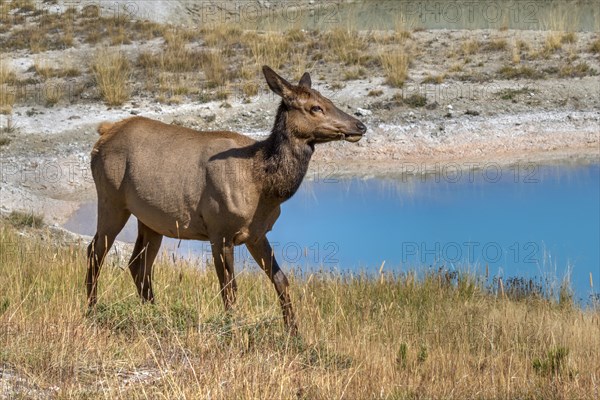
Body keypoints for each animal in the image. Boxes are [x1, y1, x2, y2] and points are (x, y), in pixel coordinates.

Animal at [84, 65, 366, 334]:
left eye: (328, 100)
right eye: (315, 107)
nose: (360, 126)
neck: (263, 186)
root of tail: (103, 133)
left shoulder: (256, 234)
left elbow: (281, 280)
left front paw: (294, 333)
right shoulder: (219, 230)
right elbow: (229, 288)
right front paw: (234, 330)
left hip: (151, 220)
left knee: (138, 264)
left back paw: (154, 314)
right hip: (111, 199)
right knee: (95, 251)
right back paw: (91, 310)